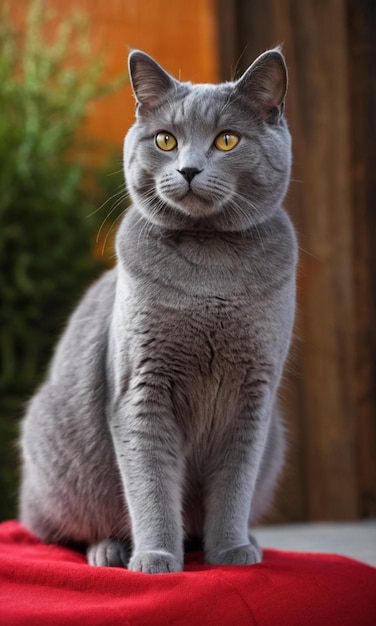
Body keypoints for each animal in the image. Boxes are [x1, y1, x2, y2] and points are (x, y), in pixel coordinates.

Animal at [19, 47, 298, 572]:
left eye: (227, 140)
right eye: (165, 140)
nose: (188, 169)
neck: (210, 272)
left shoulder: (253, 397)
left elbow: (235, 484)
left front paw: (231, 550)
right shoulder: (140, 389)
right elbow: (149, 484)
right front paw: (156, 557)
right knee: (60, 531)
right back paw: (109, 549)